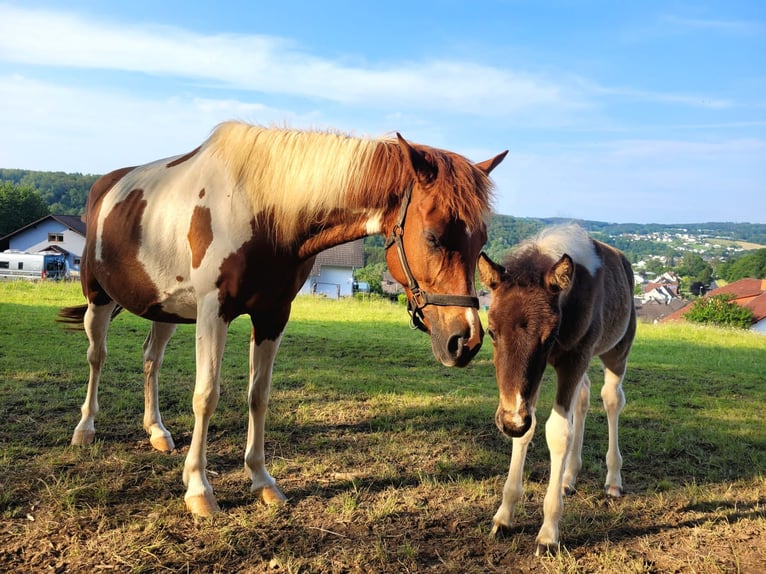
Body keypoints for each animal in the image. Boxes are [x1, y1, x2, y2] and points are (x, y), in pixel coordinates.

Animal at [57, 120, 508, 516]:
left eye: (482, 241)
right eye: (433, 236)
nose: (466, 341)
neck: (260, 209)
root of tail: (106, 186)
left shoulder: (273, 315)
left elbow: (259, 395)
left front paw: (261, 481)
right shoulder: (213, 312)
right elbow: (206, 396)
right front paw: (199, 489)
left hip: (164, 308)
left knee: (152, 359)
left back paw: (156, 431)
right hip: (98, 298)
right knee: (97, 357)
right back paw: (85, 429)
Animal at [480, 225, 636, 560]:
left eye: (549, 336)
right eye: (491, 332)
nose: (509, 422)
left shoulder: (575, 357)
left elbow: (558, 431)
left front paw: (549, 533)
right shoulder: (530, 384)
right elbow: (529, 428)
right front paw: (504, 516)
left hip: (617, 350)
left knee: (611, 399)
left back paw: (613, 480)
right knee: (583, 398)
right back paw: (568, 478)